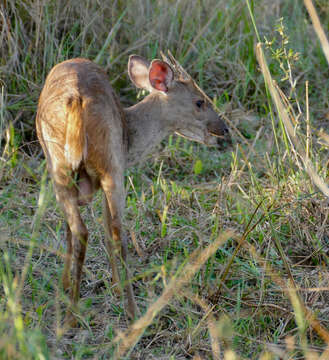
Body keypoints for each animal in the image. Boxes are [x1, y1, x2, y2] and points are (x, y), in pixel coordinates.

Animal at [35, 54, 231, 326]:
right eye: (199, 101)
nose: (223, 128)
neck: (131, 135)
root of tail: (77, 99)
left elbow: (78, 229)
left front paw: (66, 284)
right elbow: (97, 228)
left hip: (73, 164)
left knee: (87, 230)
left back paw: (76, 313)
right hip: (99, 166)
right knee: (112, 230)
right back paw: (127, 309)